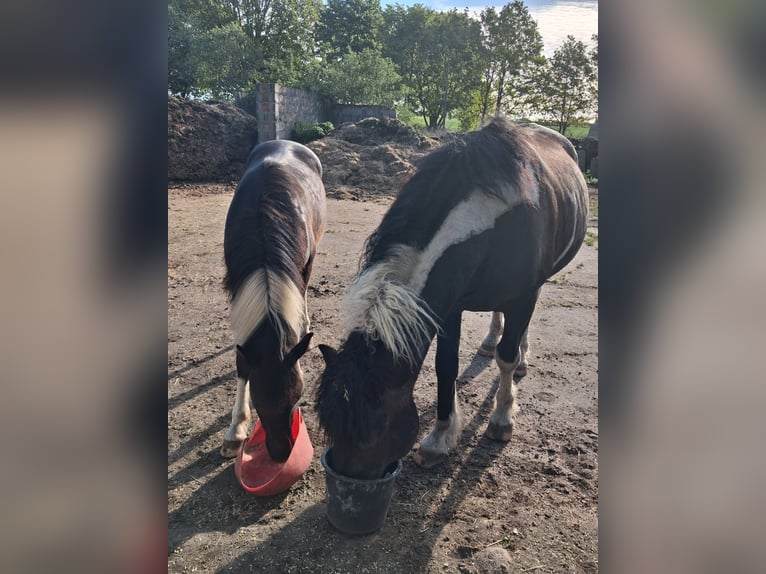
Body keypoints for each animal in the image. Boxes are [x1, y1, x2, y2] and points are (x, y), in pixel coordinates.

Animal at [220, 139, 326, 461]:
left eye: (297, 398)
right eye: (258, 402)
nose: (281, 454)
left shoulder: (303, 265)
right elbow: (243, 361)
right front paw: (235, 431)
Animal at [315, 118, 588, 479]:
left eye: (378, 426)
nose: (347, 478)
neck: (496, 223)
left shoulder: (523, 296)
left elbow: (506, 358)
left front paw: (502, 418)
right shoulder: (449, 308)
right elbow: (446, 367)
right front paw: (439, 438)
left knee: (518, 337)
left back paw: (521, 361)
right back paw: (489, 340)